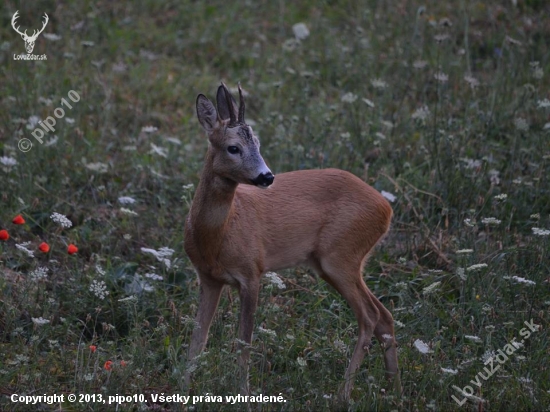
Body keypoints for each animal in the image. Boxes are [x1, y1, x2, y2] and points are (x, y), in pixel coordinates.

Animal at [185, 83, 402, 400]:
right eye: (233, 147)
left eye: (258, 143)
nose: (266, 176)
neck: (218, 237)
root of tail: (386, 208)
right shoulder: (208, 278)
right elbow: (198, 339)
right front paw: (182, 385)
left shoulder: (252, 272)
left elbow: (244, 342)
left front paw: (243, 392)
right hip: (336, 263)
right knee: (384, 316)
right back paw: (393, 389)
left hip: (341, 257)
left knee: (370, 316)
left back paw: (343, 394)